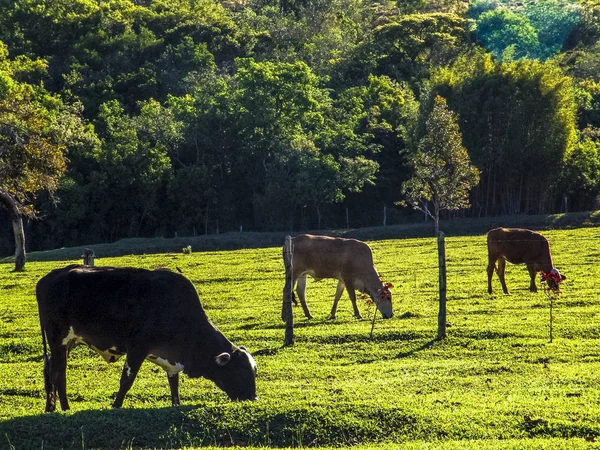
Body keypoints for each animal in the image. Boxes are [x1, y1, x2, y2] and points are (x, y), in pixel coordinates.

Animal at [37, 266, 258, 414]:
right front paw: (116, 407)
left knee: (50, 372)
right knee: (59, 375)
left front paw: (176, 405)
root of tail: (49, 277)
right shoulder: (137, 348)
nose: (253, 398)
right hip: (58, 340)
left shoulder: (171, 359)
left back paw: (51, 408)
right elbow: (126, 380)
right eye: (240, 371)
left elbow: (174, 384)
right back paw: (66, 408)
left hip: (67, 344)